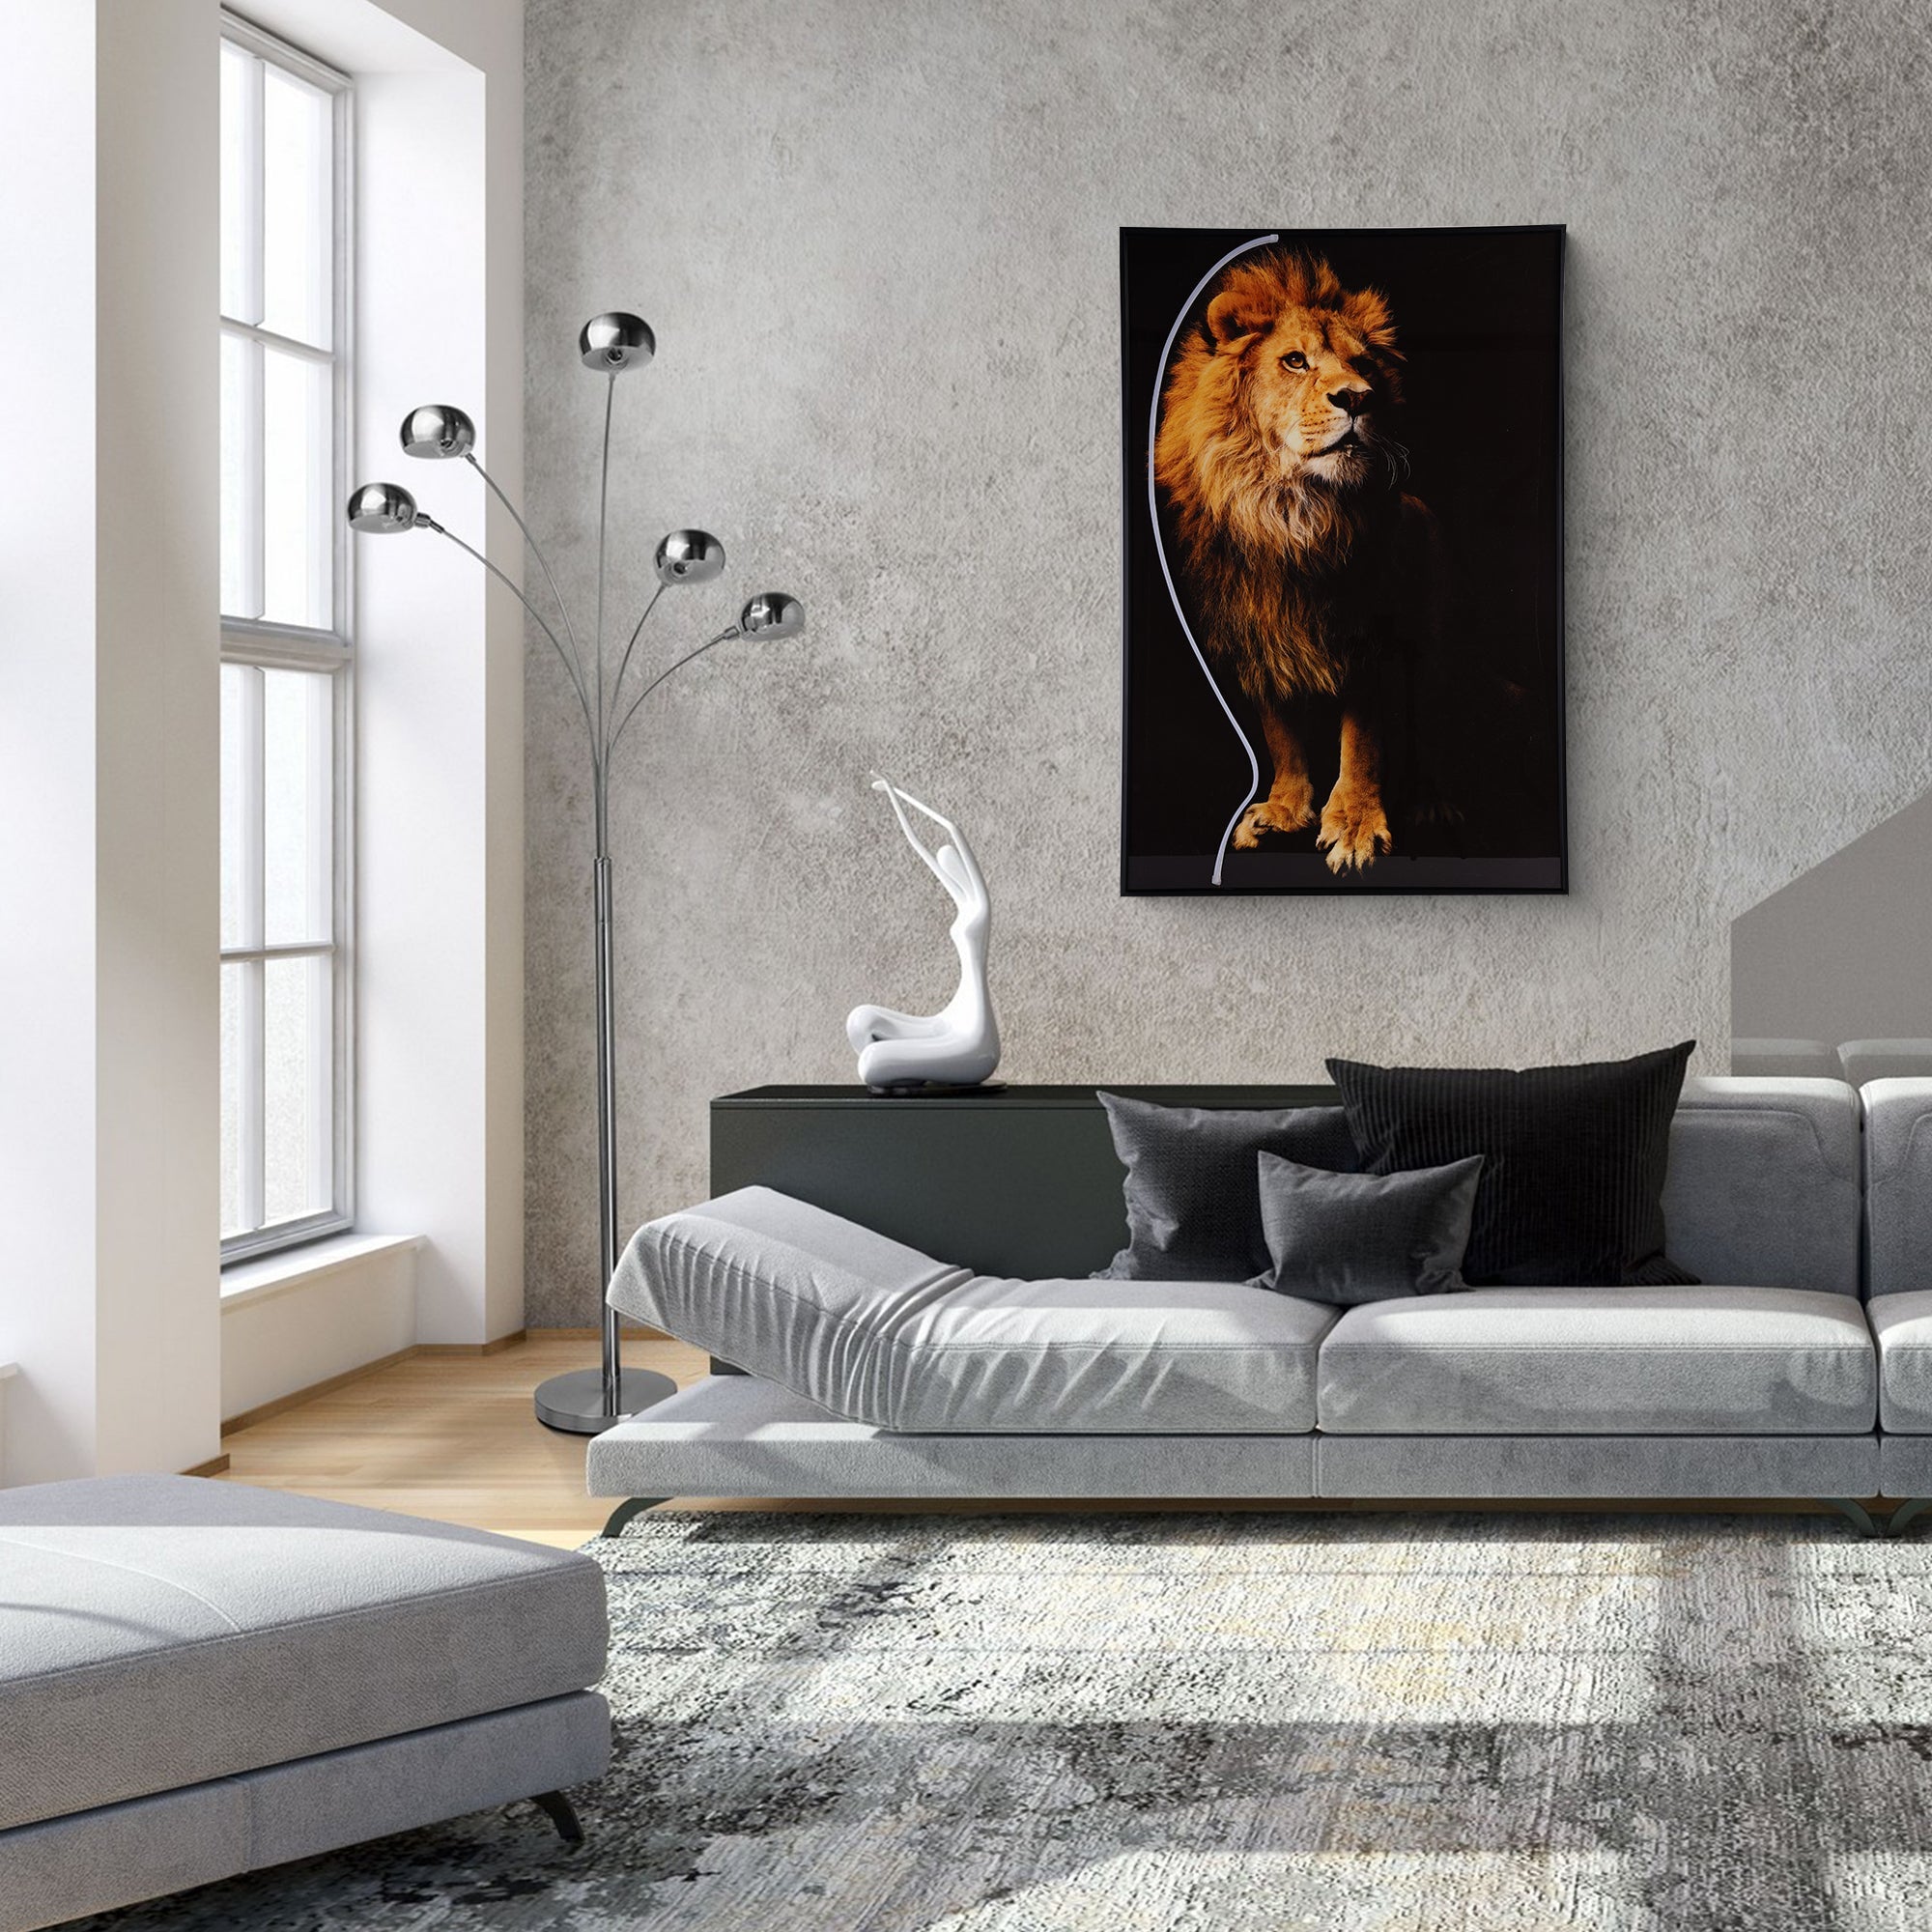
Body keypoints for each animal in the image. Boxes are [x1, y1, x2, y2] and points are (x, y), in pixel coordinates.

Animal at [1153, 249, 1450, 872]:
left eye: (1363, 365)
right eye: (1295, 361)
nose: (1357, 397)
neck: (1290, 515)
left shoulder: (1367, 638)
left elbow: (1362, 740)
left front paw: (1355, 825)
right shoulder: (1254, 632)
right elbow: (1279, 732)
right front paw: (1285, 811)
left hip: (1430, 650)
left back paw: (1431, 804)